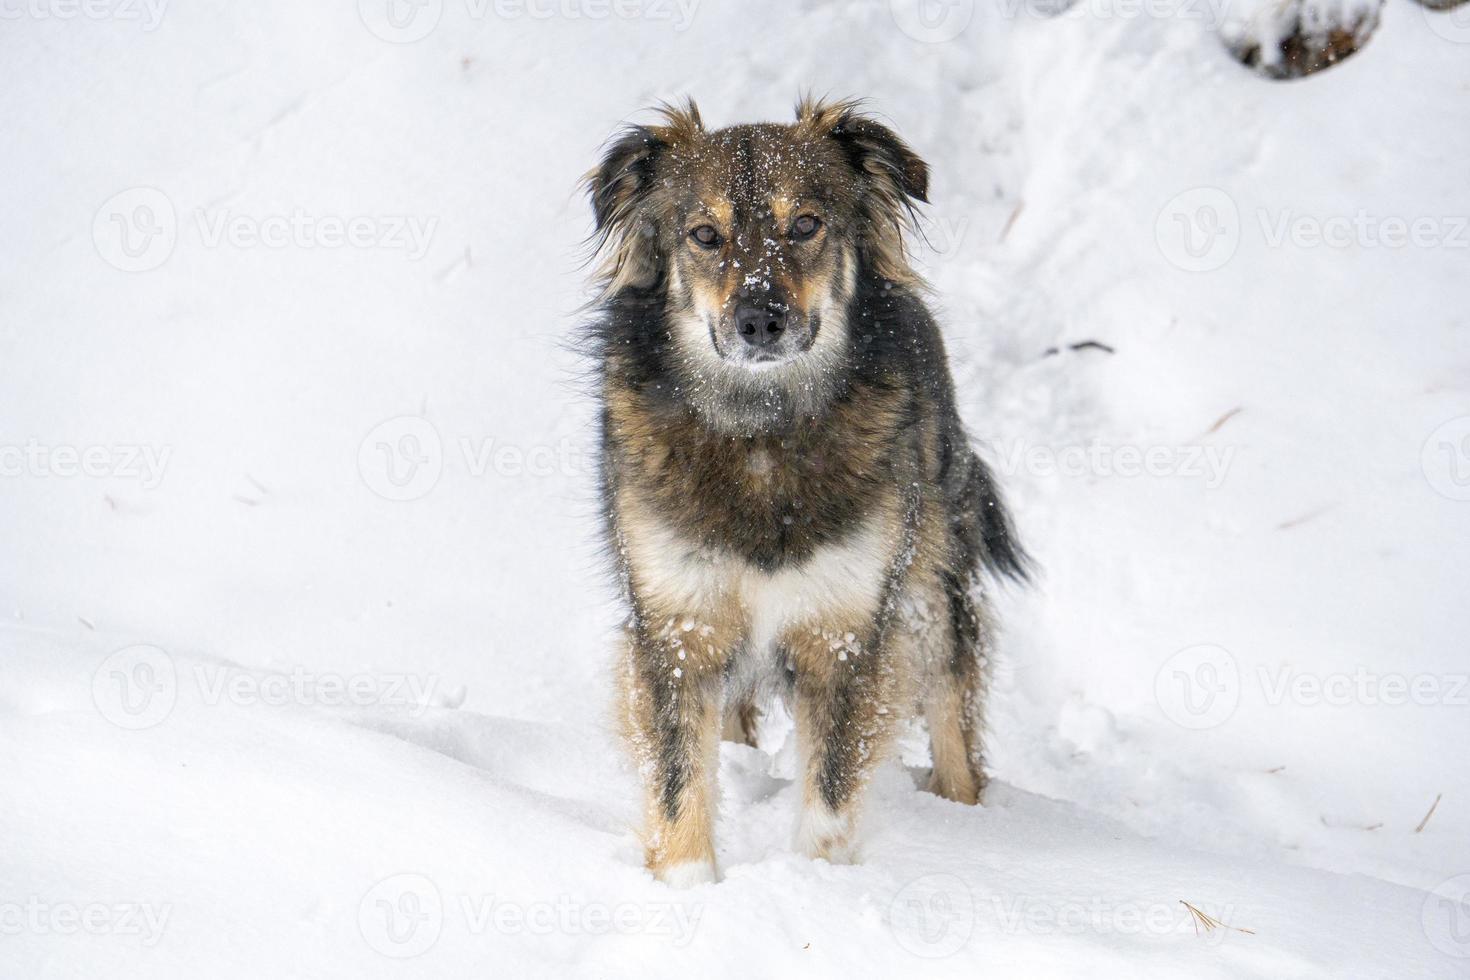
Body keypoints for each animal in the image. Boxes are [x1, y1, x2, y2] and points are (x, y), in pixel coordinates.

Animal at [582, 95, 1023, 887]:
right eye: (705, 235)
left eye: (807, 225)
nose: (760, 319)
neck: (762, 432)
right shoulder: (677, 627)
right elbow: (679, 785)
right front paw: (689, 889)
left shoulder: (844, 634)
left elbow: (830, 796)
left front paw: (817, 883)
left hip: (931, 591)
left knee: (953, 711)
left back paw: (964, 817)